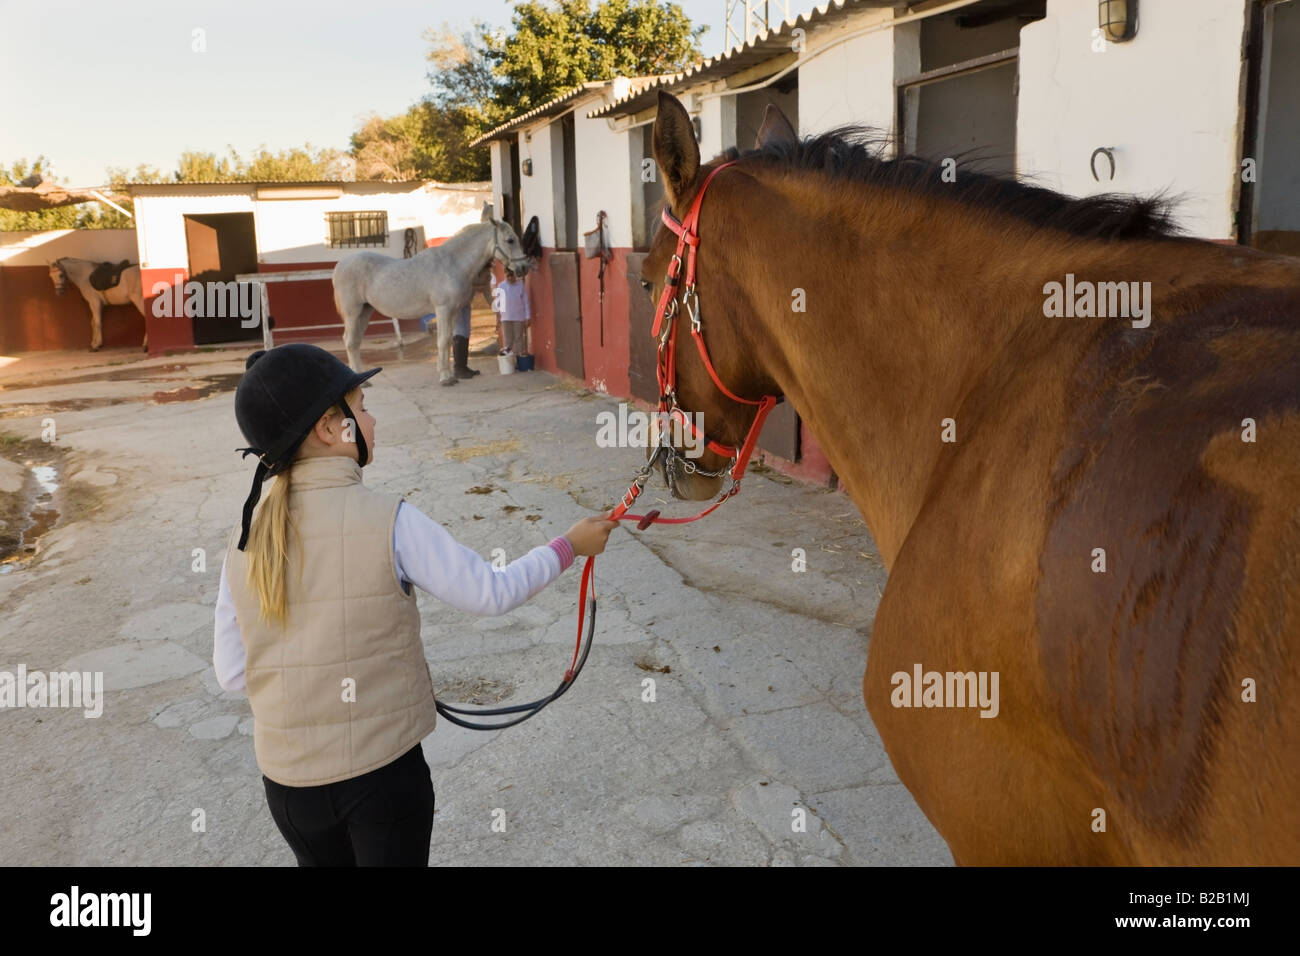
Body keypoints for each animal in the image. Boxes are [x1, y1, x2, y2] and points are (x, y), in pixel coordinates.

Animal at [335, 210, 538, 382]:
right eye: (510, 240)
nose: (523, 268)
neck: (452, 263)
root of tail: (340, 264)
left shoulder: (453, 311)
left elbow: (449, 341)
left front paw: (448, 373)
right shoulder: (443, 310)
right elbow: (443, 340)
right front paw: (446, 378)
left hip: (365, 311)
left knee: (355, 342)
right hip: (353, 313)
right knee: (350, 341)